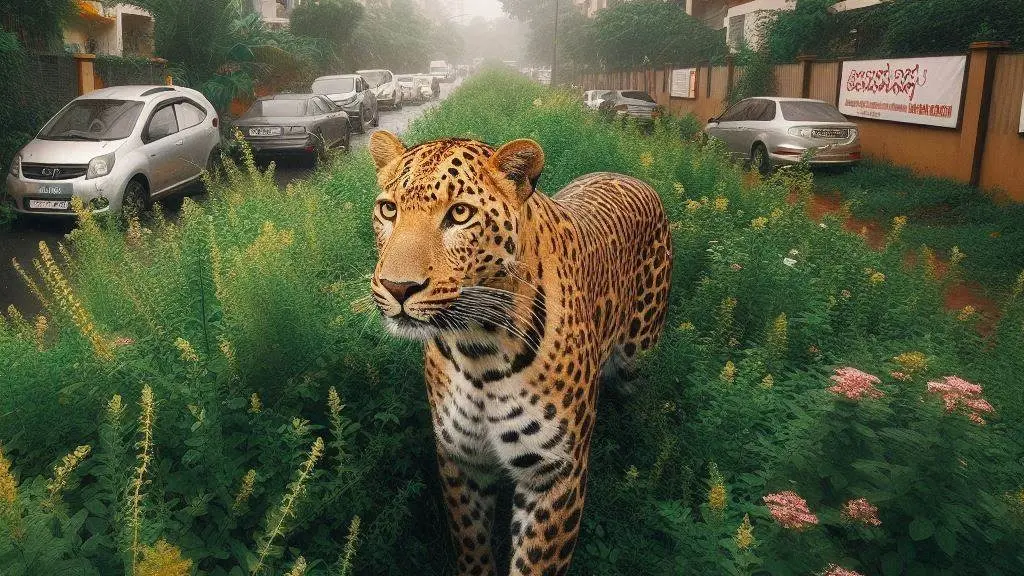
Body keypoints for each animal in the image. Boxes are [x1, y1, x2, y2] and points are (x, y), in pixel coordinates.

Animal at [368, 130, 673, 576]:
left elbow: (535, 564)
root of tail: (629, 175)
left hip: (638, 355)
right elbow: (472, 548)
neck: (478, 347)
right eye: (388, 209)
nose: (397, 287)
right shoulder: (461, 460)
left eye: (460, 214)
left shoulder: (554, 474)